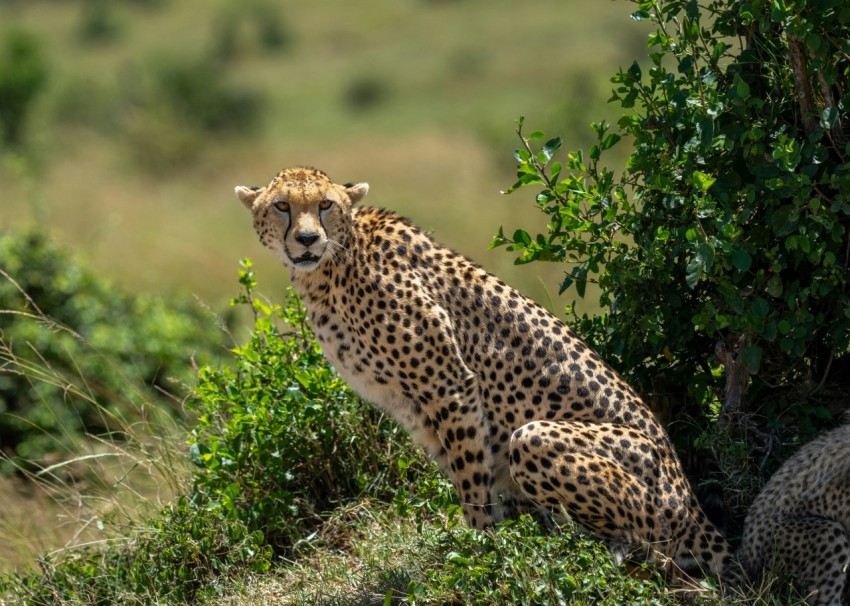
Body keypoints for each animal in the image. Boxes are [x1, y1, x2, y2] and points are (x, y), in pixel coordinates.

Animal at [235, 169, 732, 576]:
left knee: (648, 545)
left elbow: (471, 481)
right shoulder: (422, 406)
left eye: (325, 204)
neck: (334, 263)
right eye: (282, 206)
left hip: (542, 442)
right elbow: (474, 475)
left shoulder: (449, 385)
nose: (306, 239)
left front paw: (480, 552)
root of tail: (688, 497)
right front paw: (507, 541)